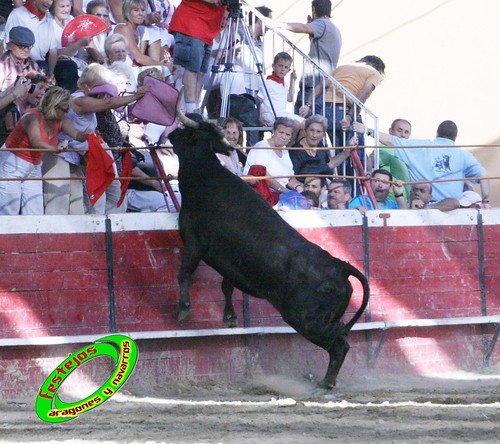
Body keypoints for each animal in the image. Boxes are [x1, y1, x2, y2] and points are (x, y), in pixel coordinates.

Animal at [170, 119, 370, 386]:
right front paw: (230, 317)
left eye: (188, 131)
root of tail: (340, 265)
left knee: (339, 345)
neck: (206, 173)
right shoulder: (227, 261)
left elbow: (185, 273)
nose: (171, 133)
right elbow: (226, 287)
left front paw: (183, 309)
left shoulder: (194, 241)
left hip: (305, 319)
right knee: (341, 343)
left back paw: (326, 382)